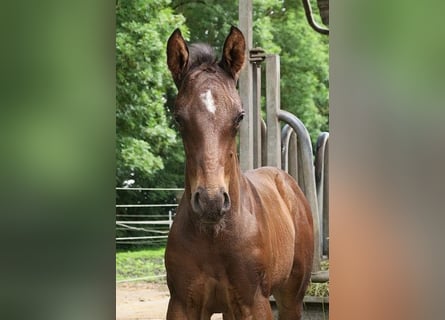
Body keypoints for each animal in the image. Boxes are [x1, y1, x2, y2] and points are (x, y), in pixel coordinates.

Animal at [163, 26, 312, 318]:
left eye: (240, 116)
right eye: (178, 118)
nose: (211, 201)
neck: (214, 235)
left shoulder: (254, 302)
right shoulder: (182, 304)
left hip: (292, 296)